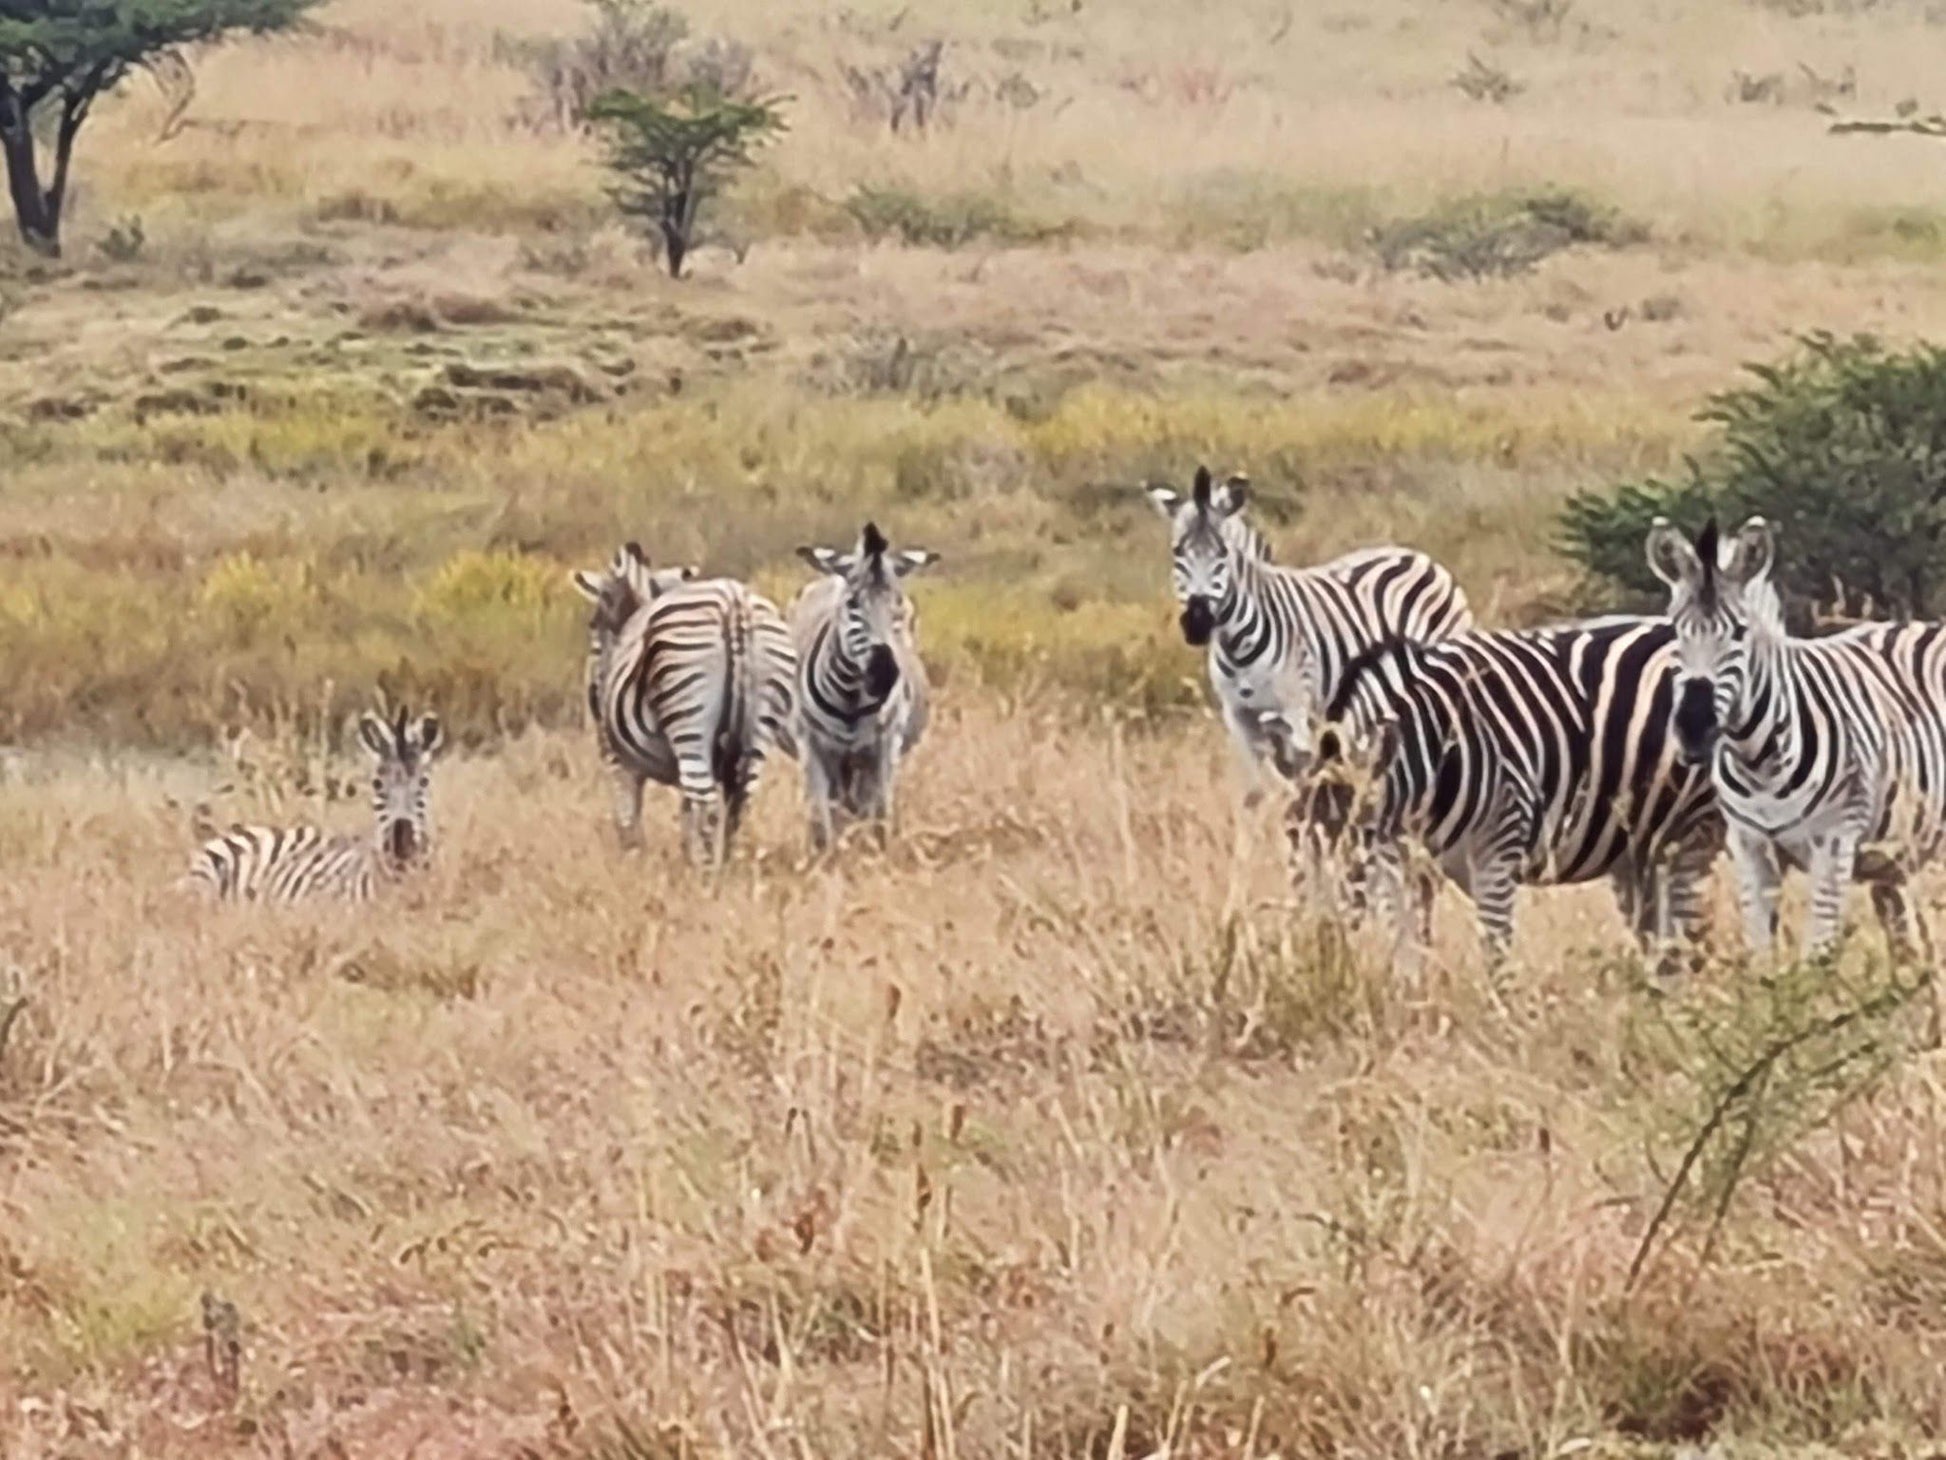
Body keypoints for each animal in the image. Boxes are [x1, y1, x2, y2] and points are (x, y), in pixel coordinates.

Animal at [572, 545, 793, 868]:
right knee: (739, 804)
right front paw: (686, 856)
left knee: (708, 806)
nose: (593, 694)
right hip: (759, 728)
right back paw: (727, 867)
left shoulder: (616, 758)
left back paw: (706, 874)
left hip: (689, 721)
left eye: (593, 625)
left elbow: (627, 818)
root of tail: (734, 602)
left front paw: (634, 862)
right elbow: (686, 815)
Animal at [790, 521, 941, 852]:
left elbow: (880, 817)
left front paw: (875, 855)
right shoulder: (812, 746)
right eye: (852, 604)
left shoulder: (884, 746)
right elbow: (822, 821)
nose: (884, 674)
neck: (850, 698)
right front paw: (827, 858)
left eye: (897, 607)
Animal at [1299, 619, 1728, 973]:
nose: (1320, 955)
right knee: (1664, 948)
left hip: (1691, 830)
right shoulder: (1401, 863)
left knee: (1686, 944)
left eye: (1347, 845)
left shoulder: (1497, 850)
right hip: (1641, 852)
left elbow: (1495, 957)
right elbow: (1410, 956)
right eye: (1297, 849)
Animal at [1642, 513, 1946, 961]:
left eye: (1740, 632)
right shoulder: (1750, 847)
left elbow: (1818, 954)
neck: (1757, 761)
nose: (1694, 729)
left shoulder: (1834, 844)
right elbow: (1762, 954)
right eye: (1677, 631)